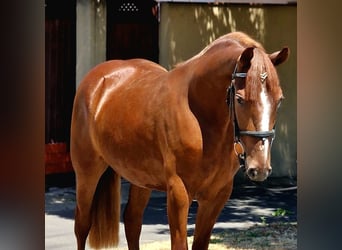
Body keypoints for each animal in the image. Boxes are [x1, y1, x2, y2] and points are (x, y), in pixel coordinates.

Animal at [71, 31, 288, 250]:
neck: (199, 116)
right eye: (240, 99)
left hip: (141, 178)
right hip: (87, 172)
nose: (259, 168)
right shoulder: (179, 192)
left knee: (132, 221)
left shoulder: (216, 196)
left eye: (279, 100)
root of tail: (98, 80)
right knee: (82, 224)